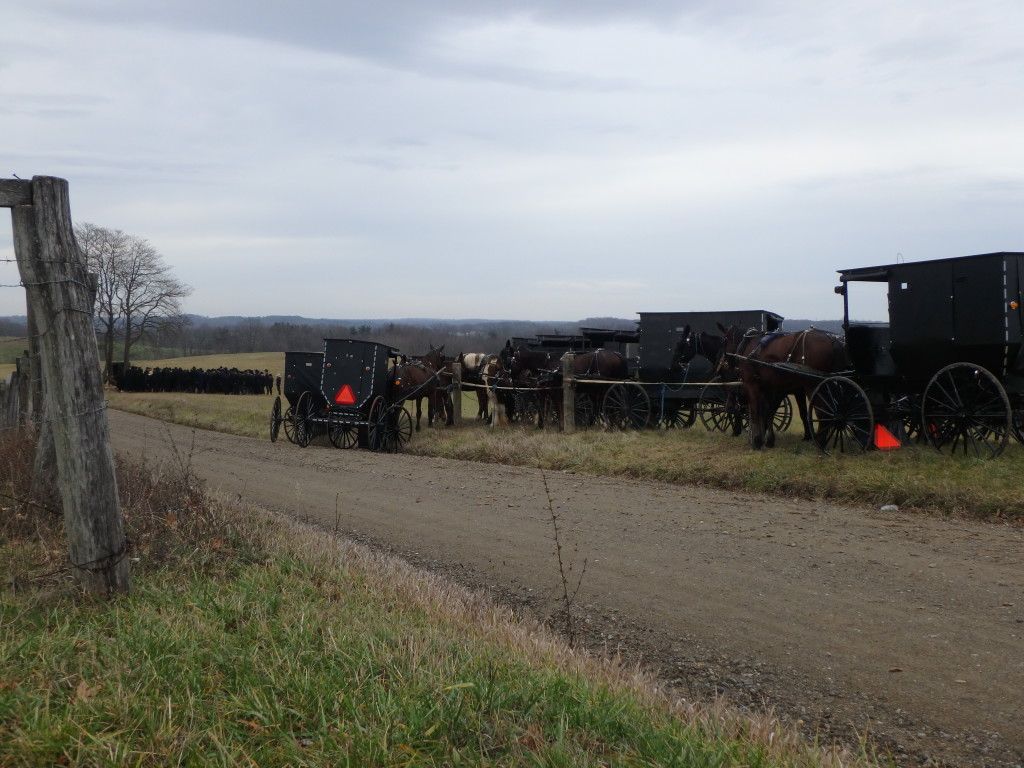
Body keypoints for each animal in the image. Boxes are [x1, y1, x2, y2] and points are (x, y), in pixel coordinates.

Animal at [720, 325, 856, 450]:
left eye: (725, 340)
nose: (725, 363)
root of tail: (831, 339)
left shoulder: (752, 385)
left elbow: (755, 412)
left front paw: (757, 441)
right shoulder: (769, 388)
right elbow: (768, 412)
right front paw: (769, 440)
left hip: (814, 385)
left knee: (823, 412)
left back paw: (820, 442)